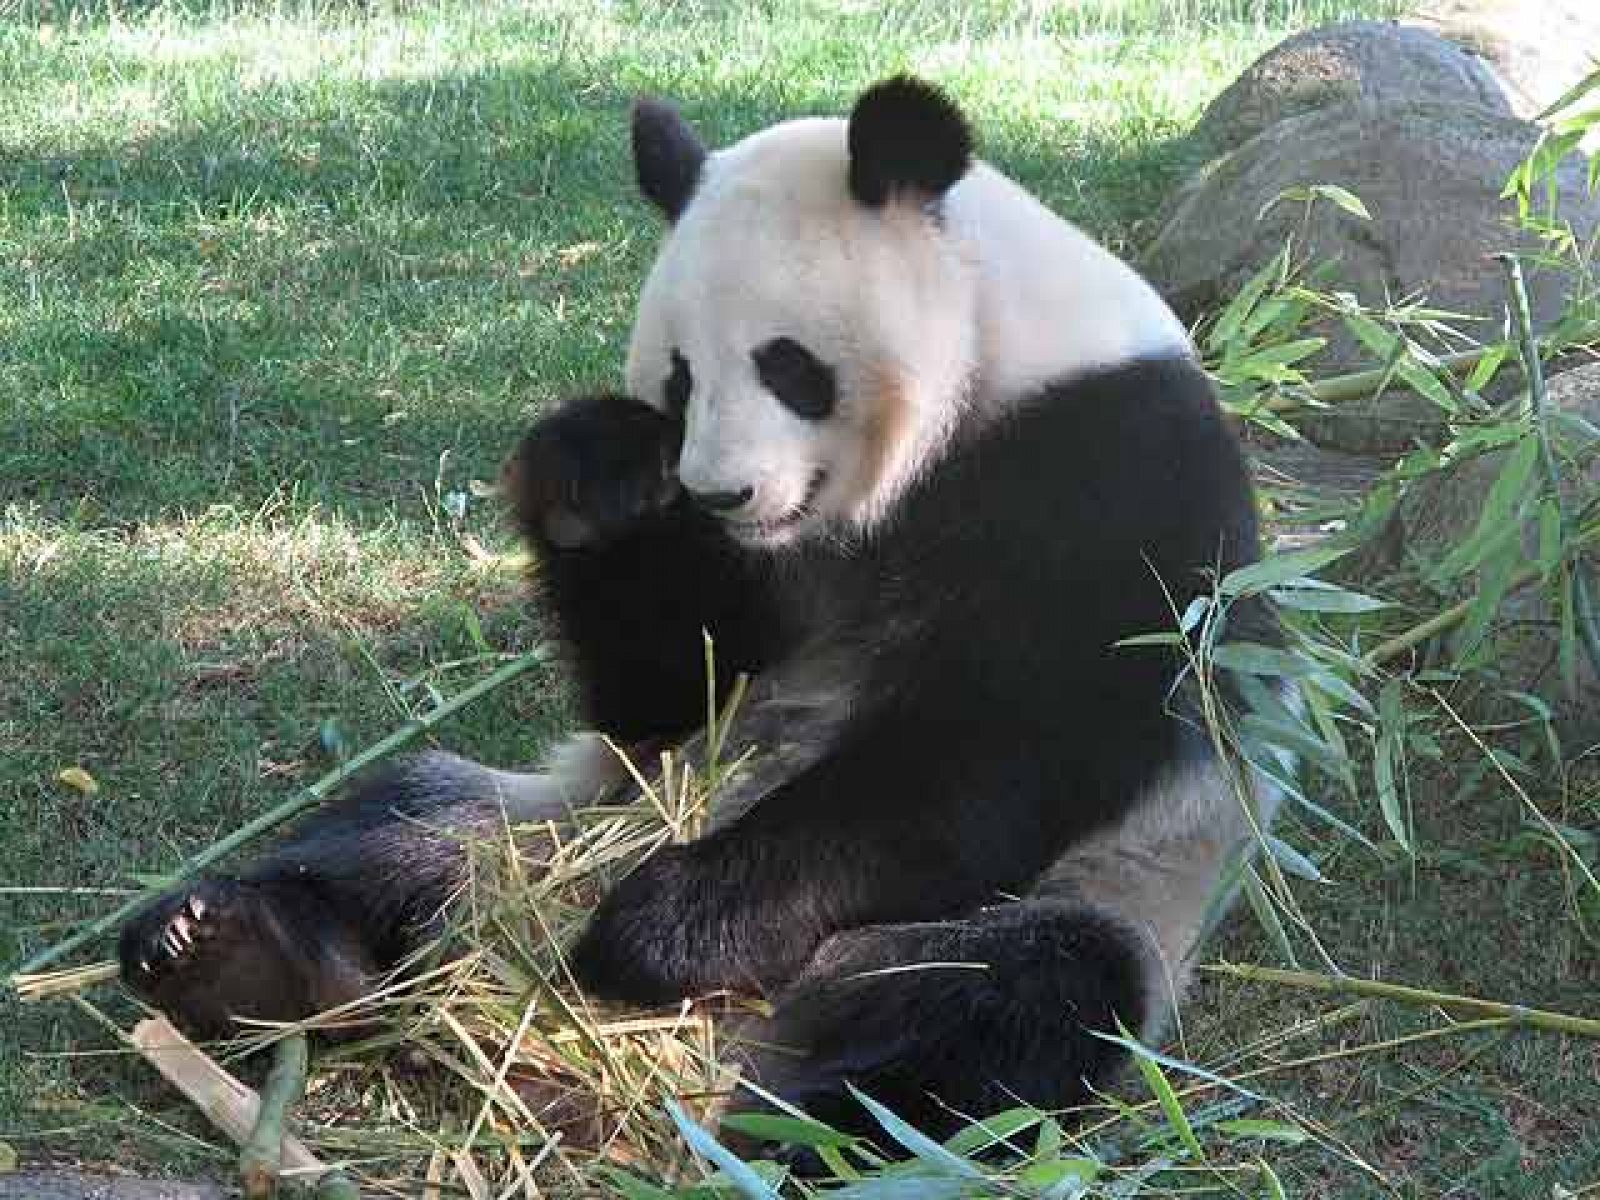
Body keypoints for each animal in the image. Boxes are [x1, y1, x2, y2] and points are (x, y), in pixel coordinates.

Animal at [118, 77, 1280, 1145]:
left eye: (790, 366)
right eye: (679, 380)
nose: (721, 494)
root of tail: (752, 1025)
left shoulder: (1108, 465)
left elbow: (1002, 740)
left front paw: (663, 928)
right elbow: (671, 684)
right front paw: (593, 476)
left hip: (1077, 899)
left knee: (1013, 1000)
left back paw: (804, 1123)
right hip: (564, 814)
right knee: (407, 822)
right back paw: (234, 959)